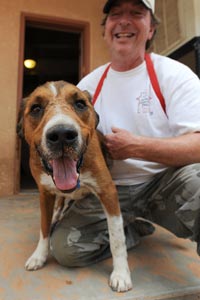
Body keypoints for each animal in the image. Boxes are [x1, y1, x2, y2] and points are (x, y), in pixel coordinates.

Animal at [17, 81, 132, 292]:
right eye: (36, 108)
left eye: (80, 104)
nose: (62, 134)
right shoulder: (45, 194)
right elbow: (44, 227)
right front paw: (39, 255)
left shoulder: (108, 192)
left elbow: (117, 237)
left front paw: (121, 273)